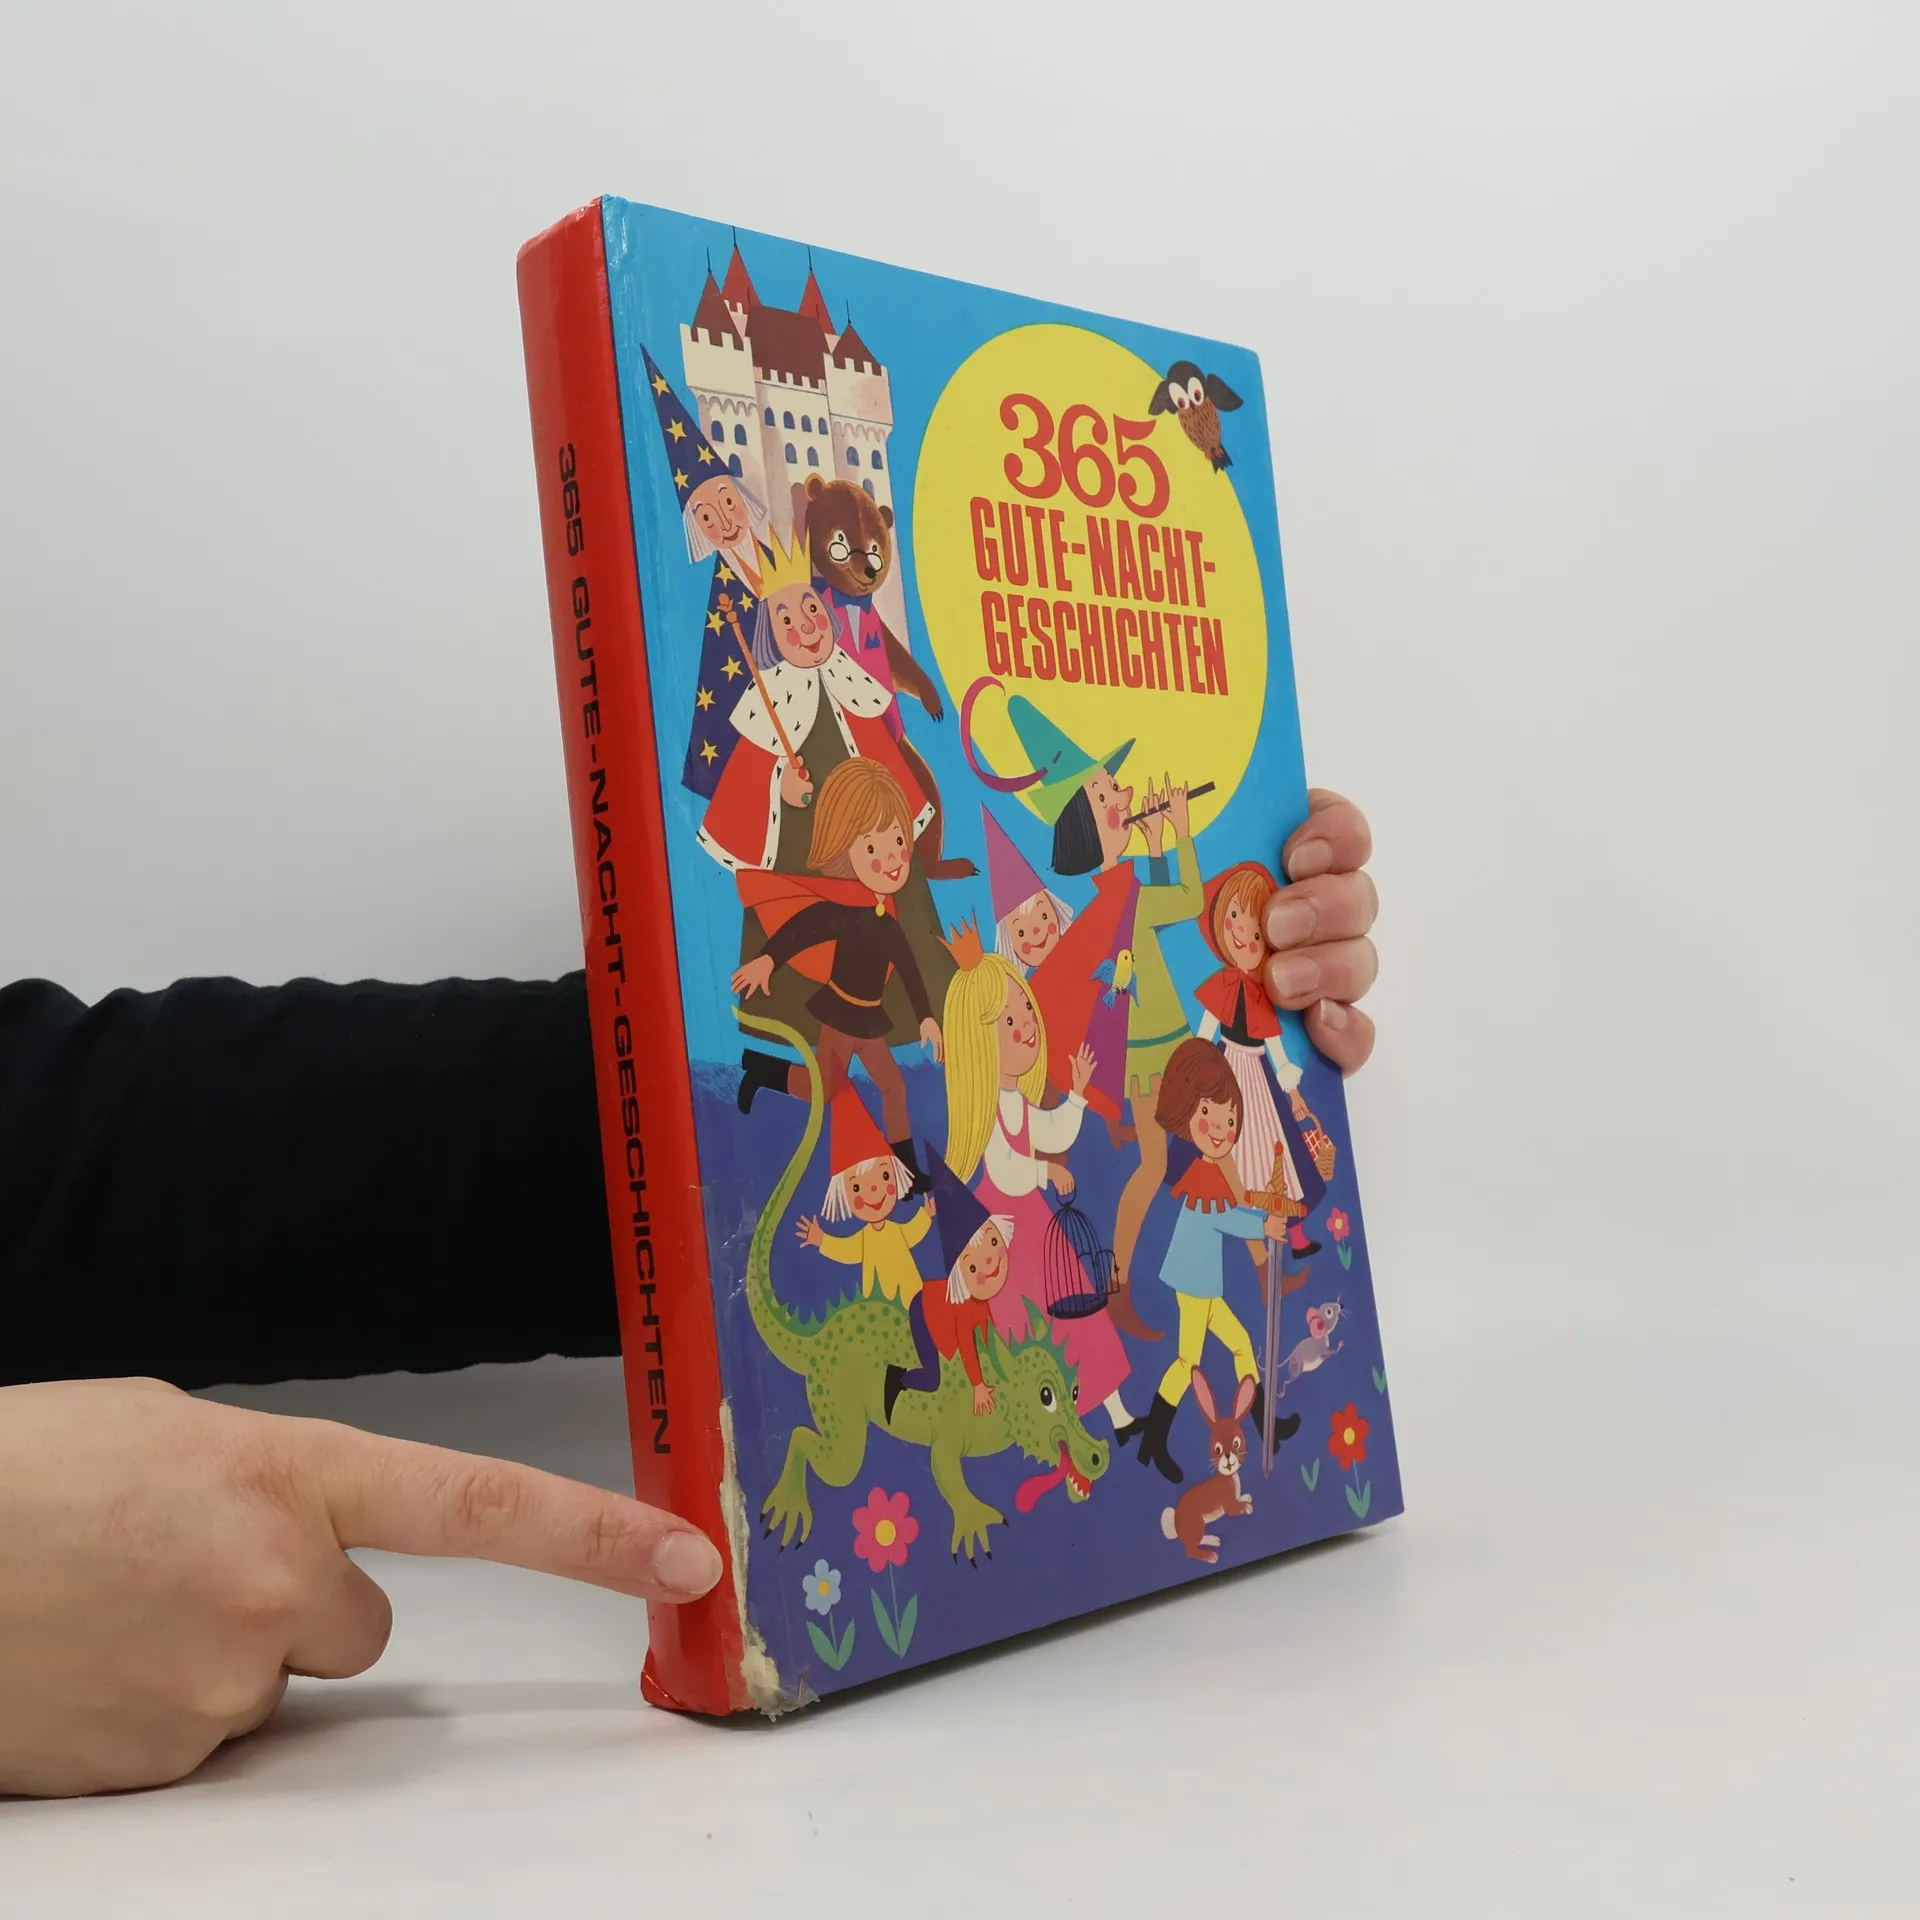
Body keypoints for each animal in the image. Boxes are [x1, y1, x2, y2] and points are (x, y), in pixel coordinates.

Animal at [795, 475, 975, 882]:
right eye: (840, 541)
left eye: (876, 550)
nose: (871, 572)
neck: (848, 601)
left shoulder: (881, 630)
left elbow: (901, 664)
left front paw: (932, 700)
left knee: (931, 800)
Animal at [1160, 1368, 1255, 1564]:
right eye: (1217, 1449)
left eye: (1236, 1443)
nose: (1228, 1456)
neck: (1229, 1478)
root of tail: (1174, 1521)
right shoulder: (1227, 1503)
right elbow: (1234, 1509)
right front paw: (1246, 1507)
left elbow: (1239, 1498)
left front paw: (1246, 1498)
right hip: (1196, 1524)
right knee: (1189, 1550)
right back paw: (1210, 1555)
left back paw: (1213, 1540)